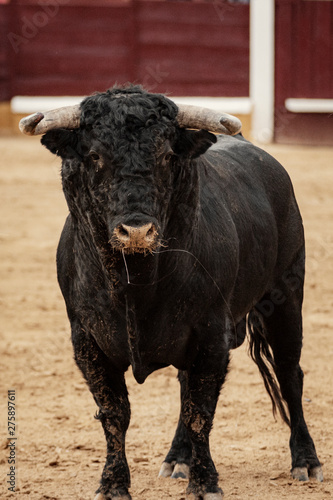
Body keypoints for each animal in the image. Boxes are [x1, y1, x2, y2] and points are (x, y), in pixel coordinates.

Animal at [37, 88, 322, 498]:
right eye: (94, 156)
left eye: (168, 156)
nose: (136, 231)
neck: (135, 282)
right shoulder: (87, 341)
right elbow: (115, 413)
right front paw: (113, 483)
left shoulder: (212, 336)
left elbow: (200, 412)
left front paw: (205, 484)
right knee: (187, 385)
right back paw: (178, 459)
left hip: (286, 296)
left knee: (289, 374)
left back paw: (305, 461)